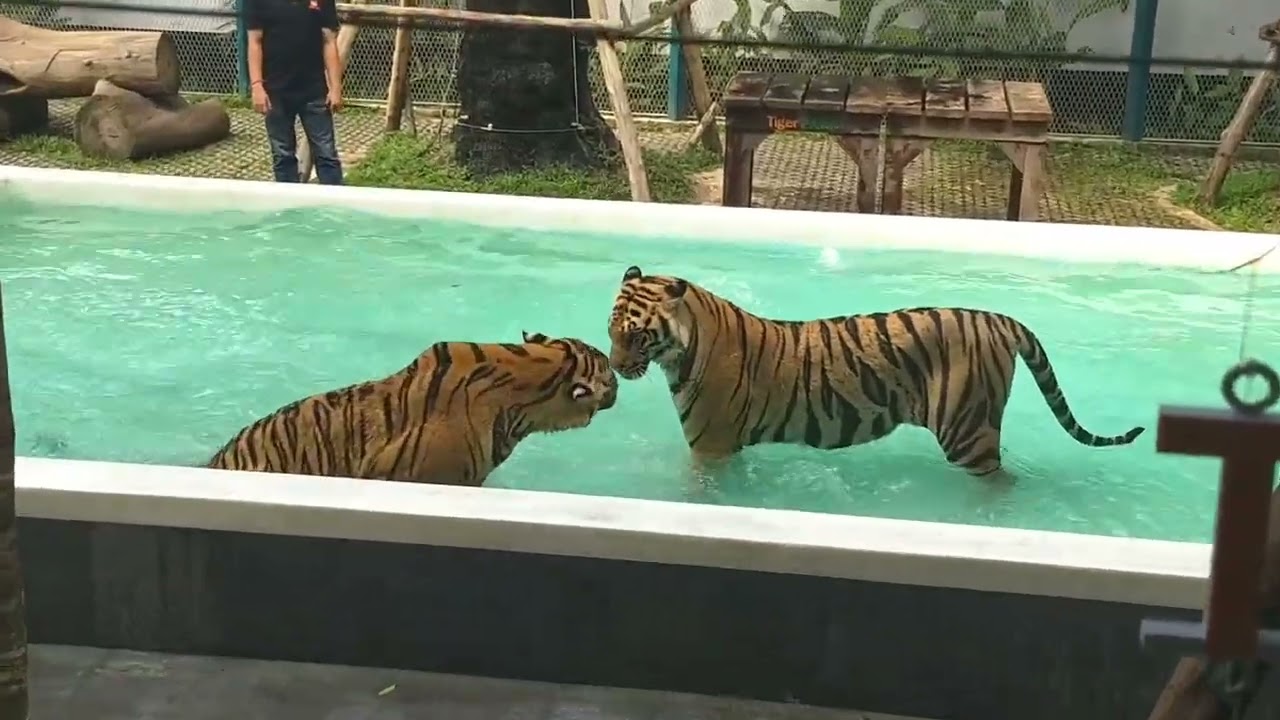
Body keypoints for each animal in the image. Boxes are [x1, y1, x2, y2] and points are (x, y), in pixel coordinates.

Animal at [607, 265, 1144, 477]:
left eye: (635, 336)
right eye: (610, 332)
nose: (614, 367)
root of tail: (999, 318)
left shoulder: (711, 448)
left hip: (965, 431)